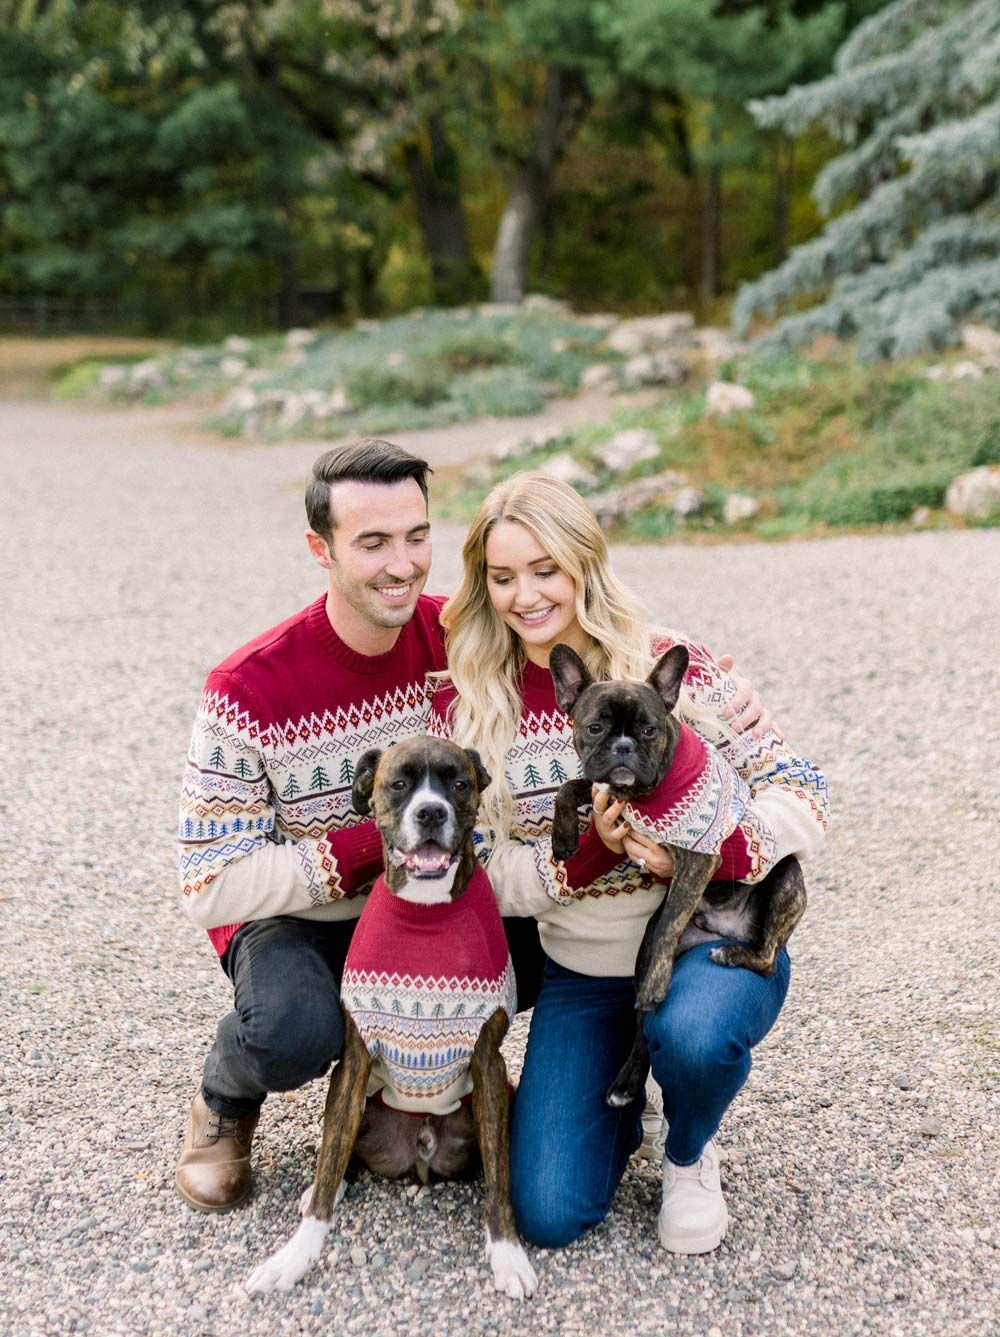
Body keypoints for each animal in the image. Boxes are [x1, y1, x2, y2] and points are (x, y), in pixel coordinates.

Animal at [244, 738, 540, 1299]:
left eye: (459, 783)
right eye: (399, 783)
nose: (431, 812)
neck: (425, 910)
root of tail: (419, 1152)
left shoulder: (489, 1064)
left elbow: (500, 1178)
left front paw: (508, 1254)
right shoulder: (356, 1058)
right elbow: (327, 1166)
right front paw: (295, 1256)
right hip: (356, 1100)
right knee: (335, 1157)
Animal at [548, 644, 802, 1107]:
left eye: (649, 730)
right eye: (594, 727)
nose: (624, 747)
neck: (640, 794)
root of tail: (727, 930)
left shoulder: (698, 858)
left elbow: (671, 922)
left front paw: (658, 984)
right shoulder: (603, 787)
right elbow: (572, 787)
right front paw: (563, 838)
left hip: (786, 879)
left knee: (766, 958)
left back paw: (731, 957)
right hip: (642, 949)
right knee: (642, 1026)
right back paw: (626, 1084)